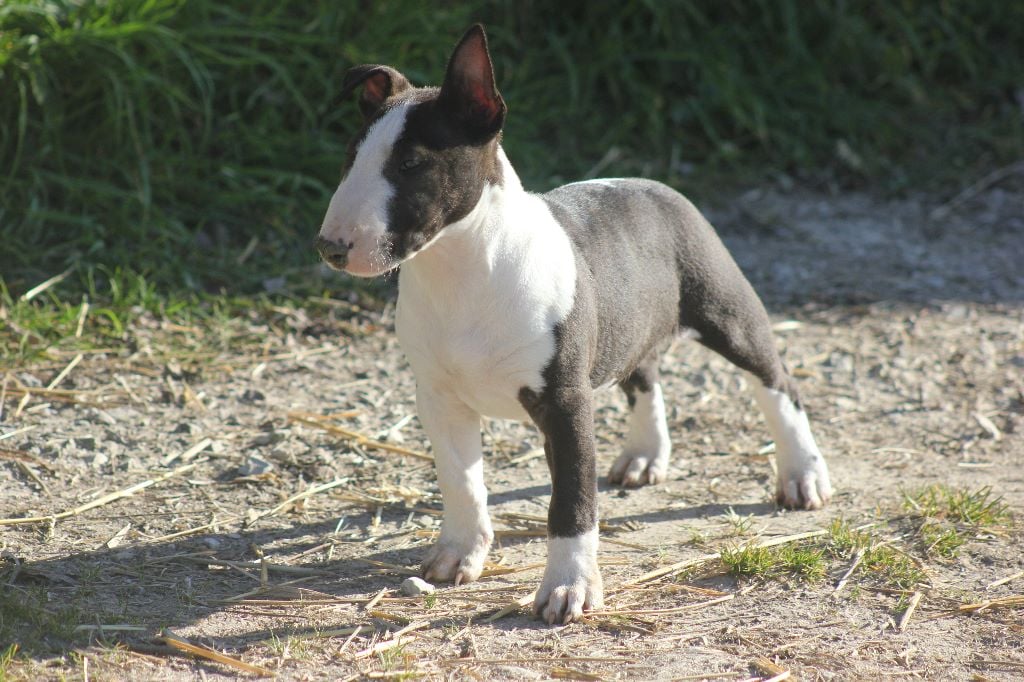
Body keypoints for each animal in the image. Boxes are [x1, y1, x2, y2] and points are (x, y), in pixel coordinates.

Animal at [313, 25, 831, 622]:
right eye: (350, 157)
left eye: (412, 165)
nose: (330, 247)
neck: (460, 268)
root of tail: (653, 184)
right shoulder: (439, 399)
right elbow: (461, 481)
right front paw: (459, 554)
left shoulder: (565, 403)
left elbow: (572, 503)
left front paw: (569, 587)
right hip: (628, 323)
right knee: (644, 376)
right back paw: (644, 456)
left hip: (726, 311)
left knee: (776, 382)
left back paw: (802, 475)